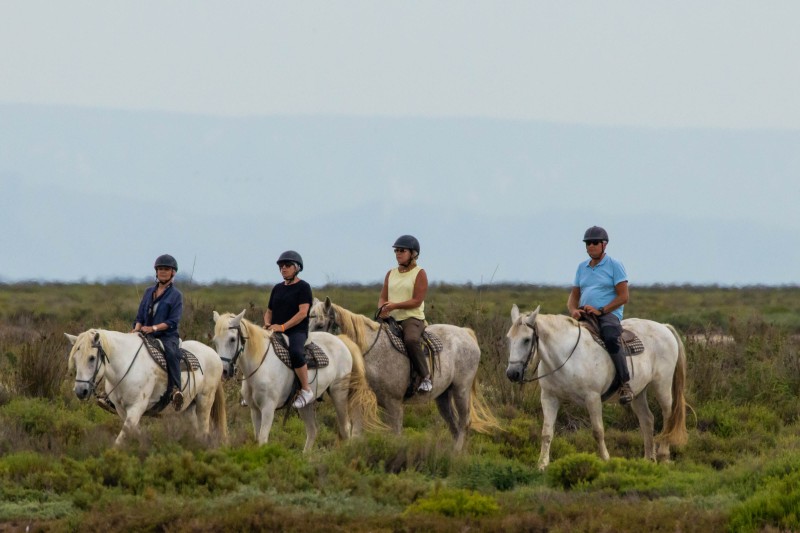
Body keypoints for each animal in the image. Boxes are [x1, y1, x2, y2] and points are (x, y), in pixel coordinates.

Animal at [65, 328, 228, 444]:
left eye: (92, 358)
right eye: (75, 359)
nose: (80, 391)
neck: (125, 365)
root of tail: (214, 354)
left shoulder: (137, 407)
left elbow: (122, 438)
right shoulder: (122, 409)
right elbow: (135, 432)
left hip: (204, 402)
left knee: (203, 431)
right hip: (188, 407)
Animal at [212, 310, 382, 450]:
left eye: (232, 339)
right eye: (215, 341)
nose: (224, 371)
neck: (260, 364)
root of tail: (341, 341)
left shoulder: (268, 408)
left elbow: (262, 439)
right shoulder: (255, 410)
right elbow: (257, 438)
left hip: (338, 393)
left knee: (345, 428)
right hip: (306, 404)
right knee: (313, 431)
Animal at [310, 296, 496, 448]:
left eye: (320, 325)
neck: (372, 353)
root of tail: (466, 333)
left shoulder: (394, 404)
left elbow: (396, 434)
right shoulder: (359, 401)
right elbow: (355, 435)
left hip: (461, 390)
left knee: (464, 423)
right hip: (443, 396)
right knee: (454, 426)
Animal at [506, 306, 688, 468]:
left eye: (526, 340)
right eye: (509, 339)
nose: (512, 374)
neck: (566, 356)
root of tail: (663, 326)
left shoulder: (592, 398)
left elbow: (598, 431)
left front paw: (606, 459)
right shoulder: (549, 398)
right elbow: (546, 433)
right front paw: (542, 464)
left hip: (662, 385)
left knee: (668, 416)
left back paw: (663, 456)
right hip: (638, 392)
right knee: (647, 420)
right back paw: (649, 459)